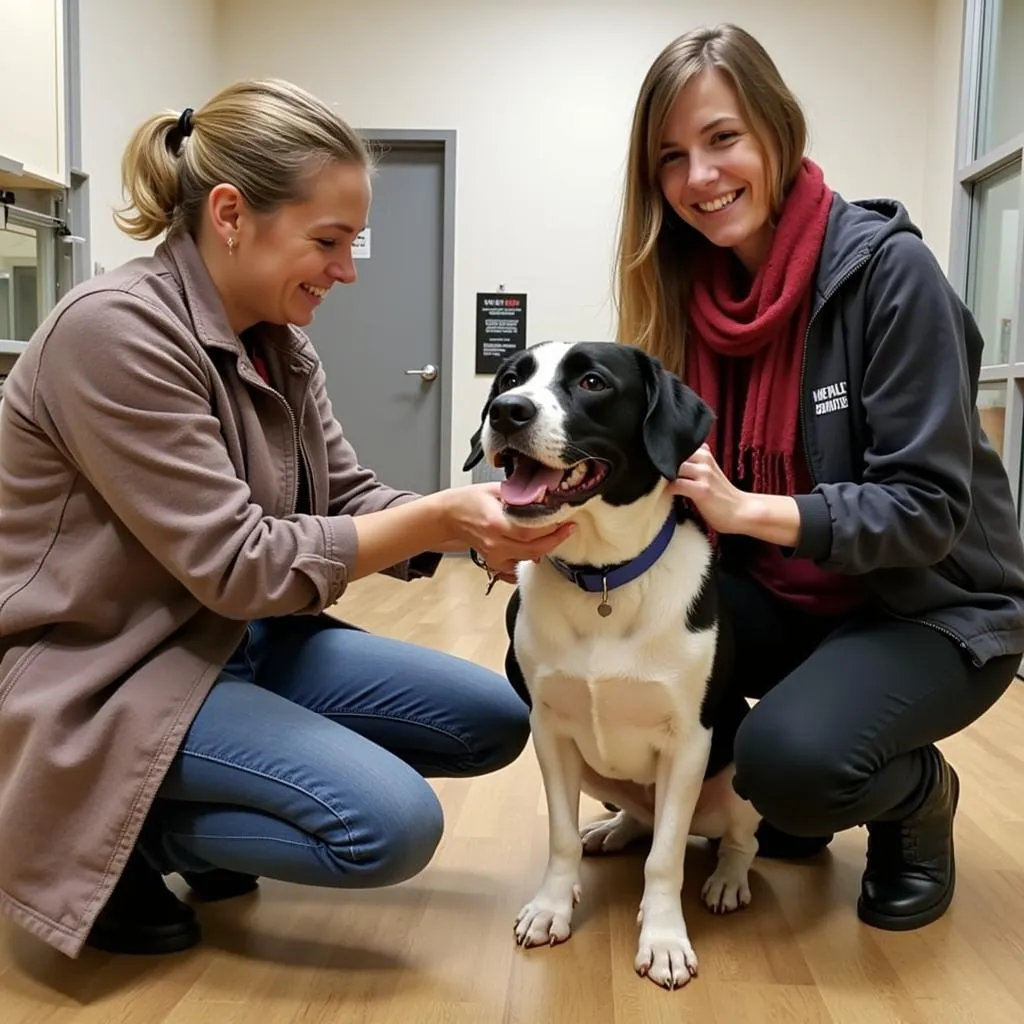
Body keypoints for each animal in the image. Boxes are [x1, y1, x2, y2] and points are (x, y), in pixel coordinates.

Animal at [464, 344, 761, 991]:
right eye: (510, 377)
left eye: (593, 383)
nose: (507, 411)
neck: (603, 577)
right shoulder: (549, 730)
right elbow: (561, 838)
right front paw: (551, 907)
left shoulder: (689, 743)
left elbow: (666, 858)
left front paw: (665, 939)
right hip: (598, 774)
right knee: (640, 818)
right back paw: (615, 829)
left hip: (739, 774)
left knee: (734, 840)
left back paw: (727, 880)